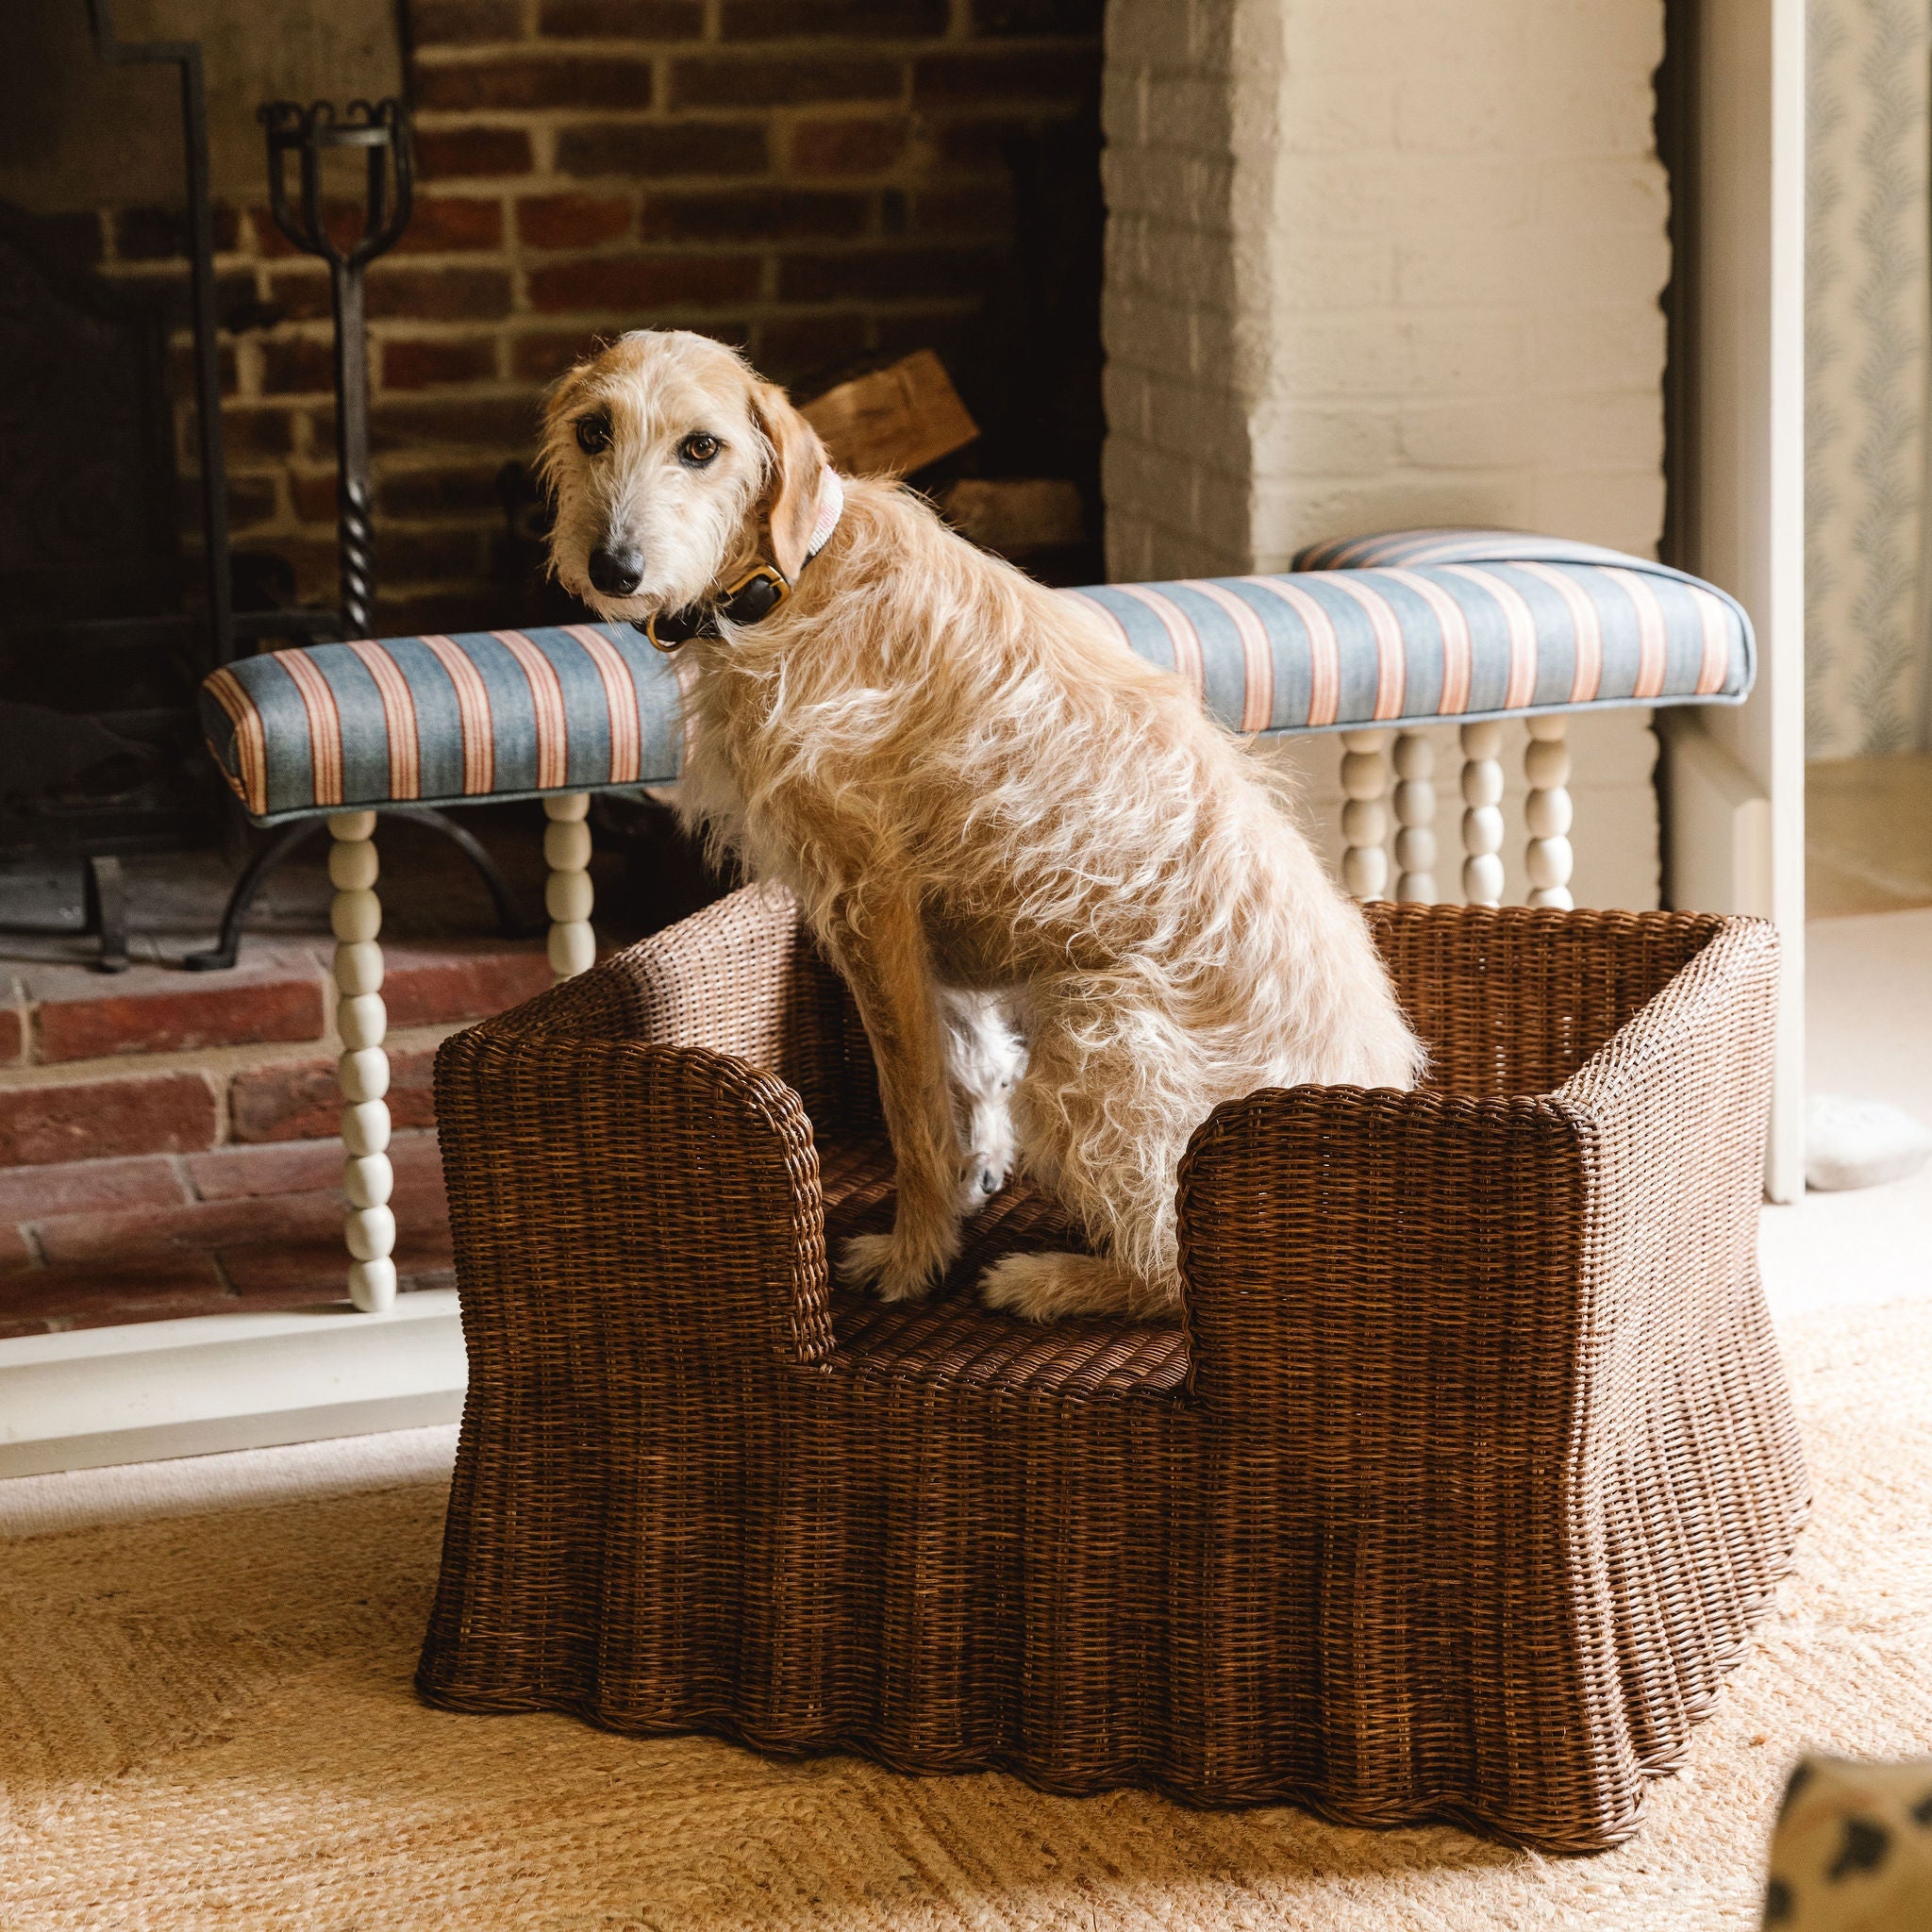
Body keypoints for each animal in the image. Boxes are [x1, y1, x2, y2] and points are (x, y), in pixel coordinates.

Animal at [544, 336, 1422, 1329]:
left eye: (702, 447)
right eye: (593, 430)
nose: (612, 566)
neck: (797, 577)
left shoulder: (871, 901)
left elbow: (915, 1108)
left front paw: (915, 1256)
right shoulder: (923, 945)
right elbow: (966, 1072)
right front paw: (971, 1185)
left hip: (1094, 1029)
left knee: (1172, 1273)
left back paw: (1046, 1280)